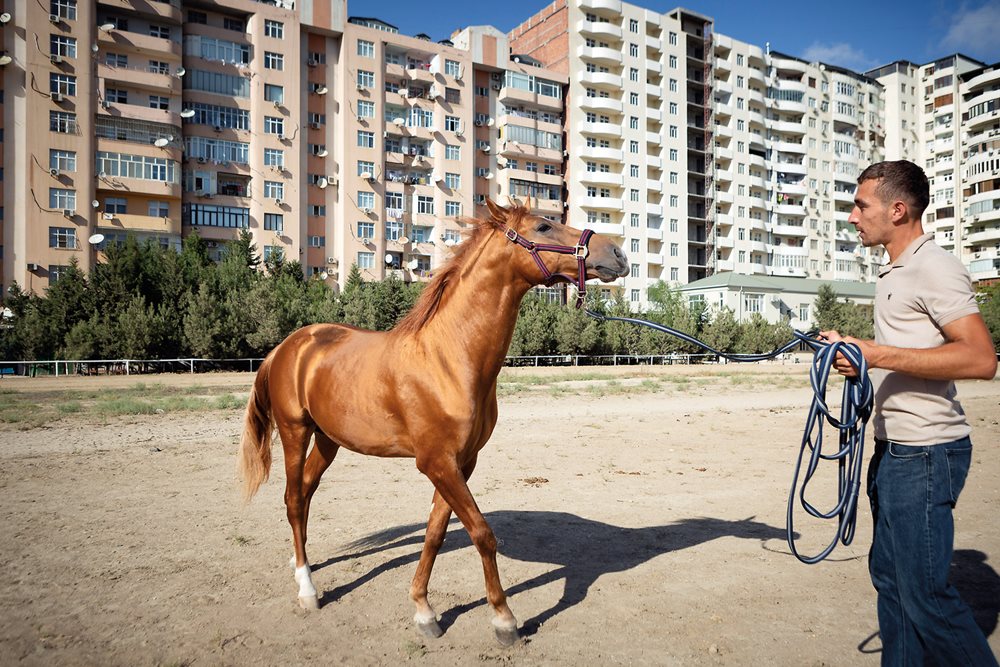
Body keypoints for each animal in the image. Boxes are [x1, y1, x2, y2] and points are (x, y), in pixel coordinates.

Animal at [238, 200, 624, 648]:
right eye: (544, 226)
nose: (617, 254)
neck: (450, 358)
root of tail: (288, 345)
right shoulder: (437, 462)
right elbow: (482, 533)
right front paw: (504, 620)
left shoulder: (461, 462)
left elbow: (435, 533)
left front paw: (424, 610)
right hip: (295, 433)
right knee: (294, 499)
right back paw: (307, 588)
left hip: (329, 441)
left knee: (304, 496)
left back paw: (301, 560)